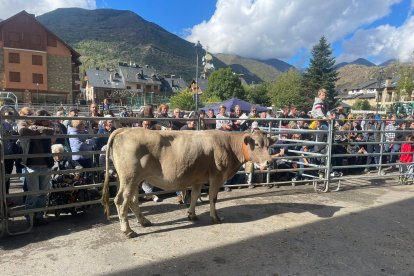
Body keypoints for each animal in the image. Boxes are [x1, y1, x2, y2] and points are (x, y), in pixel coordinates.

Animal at [101, 128, 274, 237]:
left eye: (268, 144)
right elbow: (213, 198)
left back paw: (144, 221)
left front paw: (192, 214)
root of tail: (124, 129)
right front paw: (215, 217)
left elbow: (195, 196)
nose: (269, 162)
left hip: (133, 180)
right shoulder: (216, 176)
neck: (229, 146)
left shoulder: (198, 179)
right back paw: (127, 231)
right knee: (121, 200)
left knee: (132, 200)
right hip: (129, 178)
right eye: (256, 144)